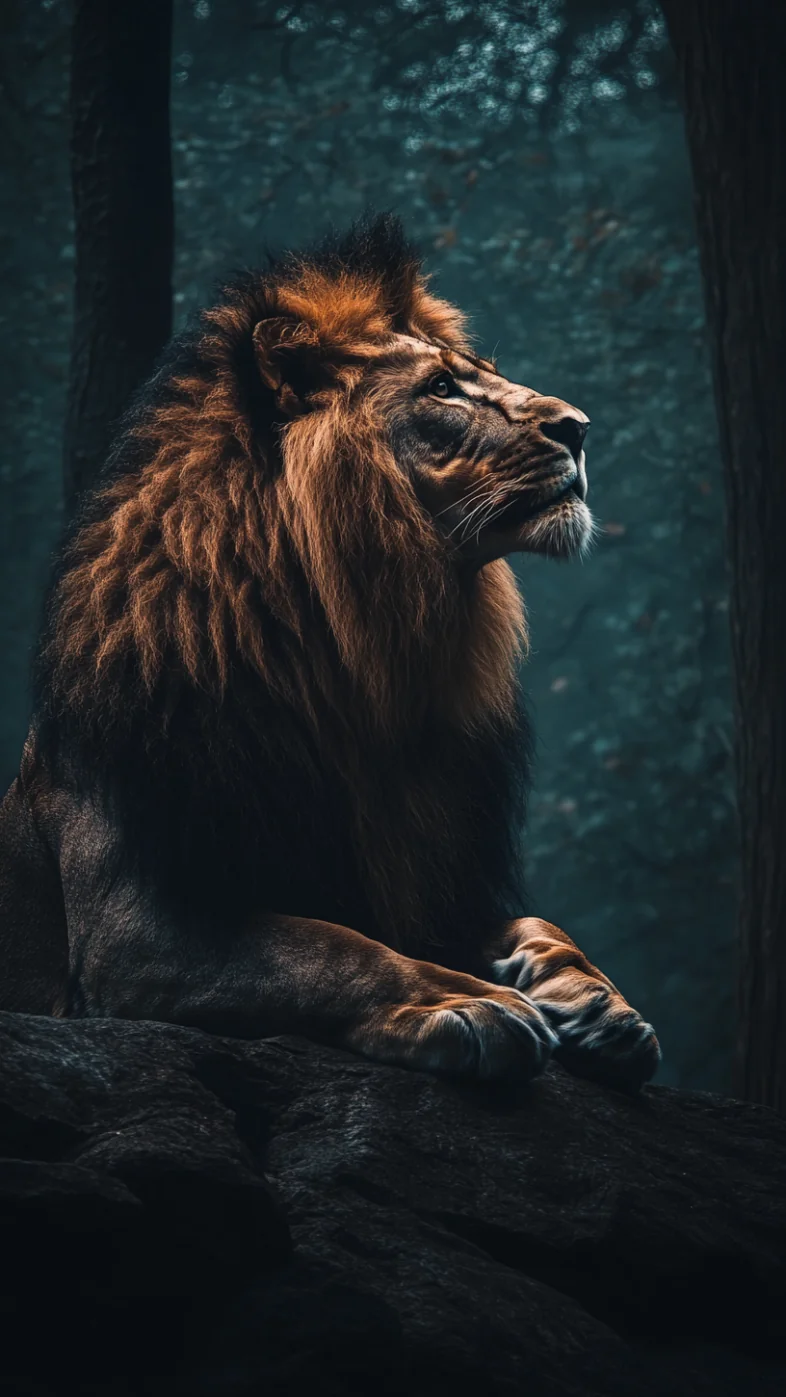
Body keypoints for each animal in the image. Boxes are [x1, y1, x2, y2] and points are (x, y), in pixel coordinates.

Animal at [0, 215, 659, 1089]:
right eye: (441, 389)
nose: (579, 427)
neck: (369, 662)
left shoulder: (431, 876)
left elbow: (537, 920)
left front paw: (596, 1001)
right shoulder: (129, 929)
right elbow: (328, 947)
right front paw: (467, 1001)